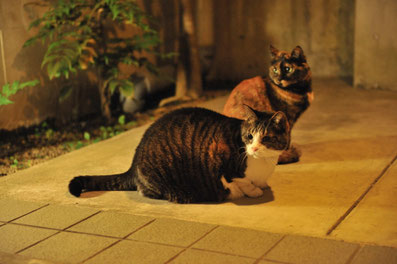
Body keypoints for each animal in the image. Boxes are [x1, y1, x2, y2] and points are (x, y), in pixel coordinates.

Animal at [69, 107, 290, 204]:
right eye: (250, 136)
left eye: (266, 138)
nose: (254, 149)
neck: (264, 162)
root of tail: (133, 163)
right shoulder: (225, 164)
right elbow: (242, 182)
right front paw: (254, 191)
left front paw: (262, 185)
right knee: (145, 191)